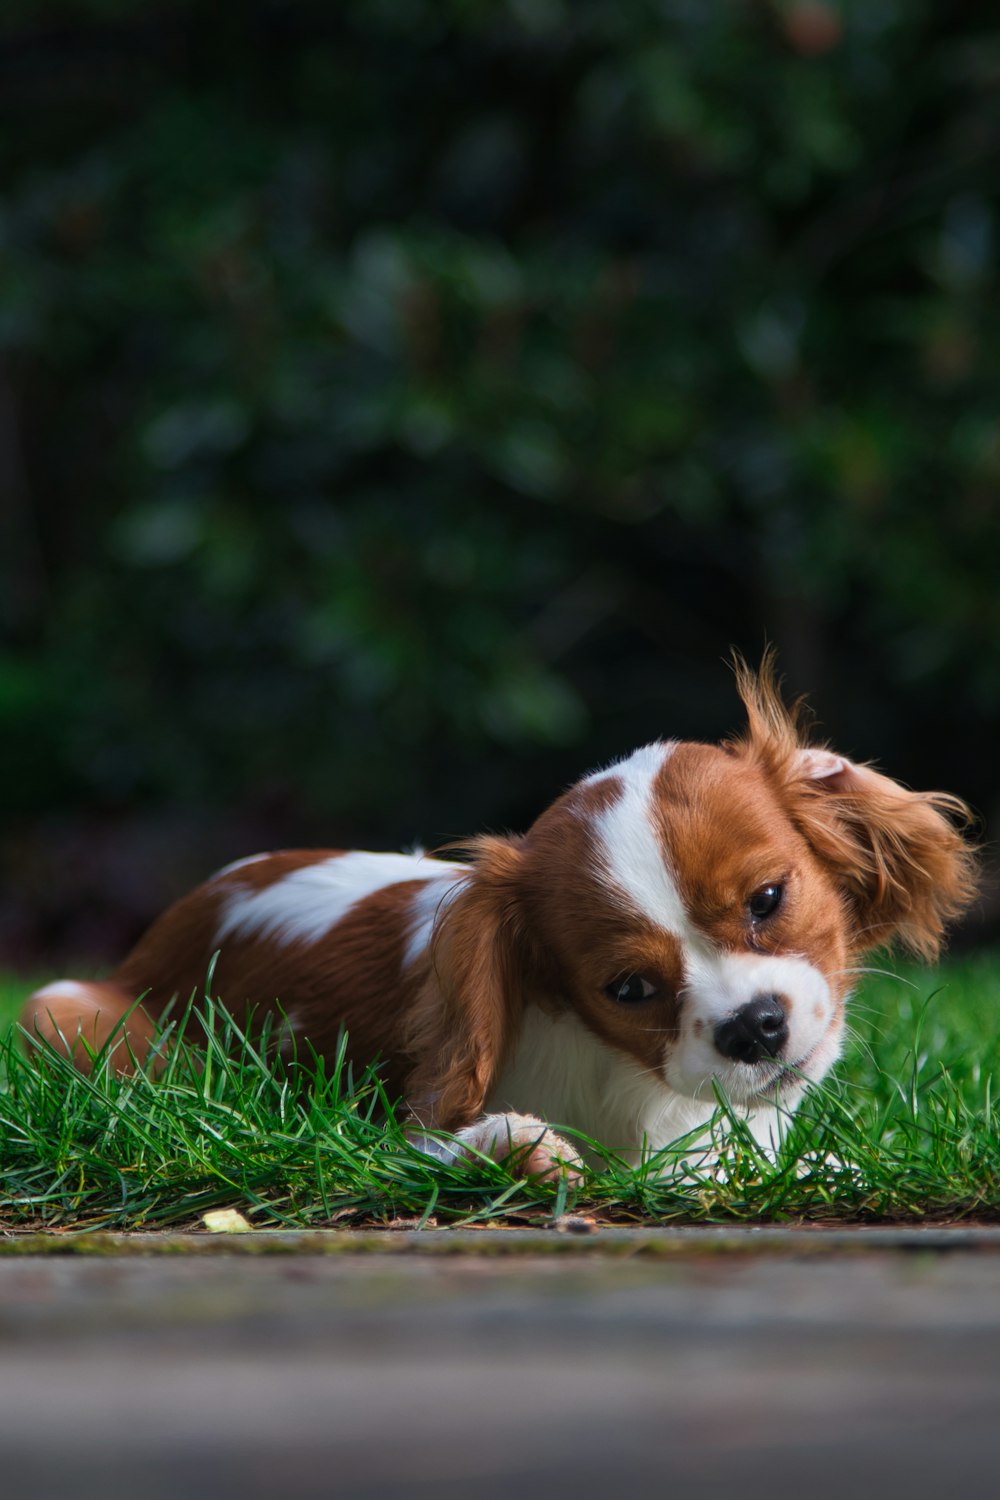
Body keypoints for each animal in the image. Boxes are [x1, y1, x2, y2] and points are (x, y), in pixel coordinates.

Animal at [23, 663, 977, 1176]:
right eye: (629, 989)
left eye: (767, 901)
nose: (755, 1027)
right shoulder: (387, 1132)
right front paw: (518, 1146)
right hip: (61, 1009)